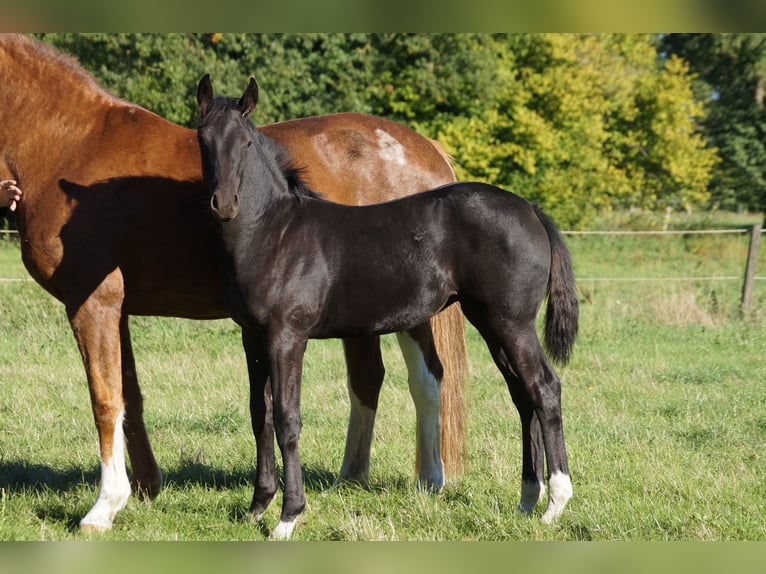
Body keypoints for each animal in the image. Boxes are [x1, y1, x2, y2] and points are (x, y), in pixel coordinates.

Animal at [0, 33, 469, 533]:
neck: (71, 143)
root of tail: (425, 151)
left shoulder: (93, 303)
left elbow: (105, 400)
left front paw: (104, 506)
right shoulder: (117, 308)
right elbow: (130, 396)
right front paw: (145, 488)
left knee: (425, 378)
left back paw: (427, 481)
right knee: (374, 378)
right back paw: (356, 480)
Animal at [197, 75, 579, 539]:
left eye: (247, 142)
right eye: (202, 139)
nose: (225, 204)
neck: (276, 232)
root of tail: (531, 209)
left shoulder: (287, 337)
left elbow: (288, 419)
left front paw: (288, 517)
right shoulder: (252, 338)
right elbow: (261, 414)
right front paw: (257, 506)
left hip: (513, 324)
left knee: (545, 388)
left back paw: (555, 503)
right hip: (492, 323)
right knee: (523, 395)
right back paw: (527, 500)